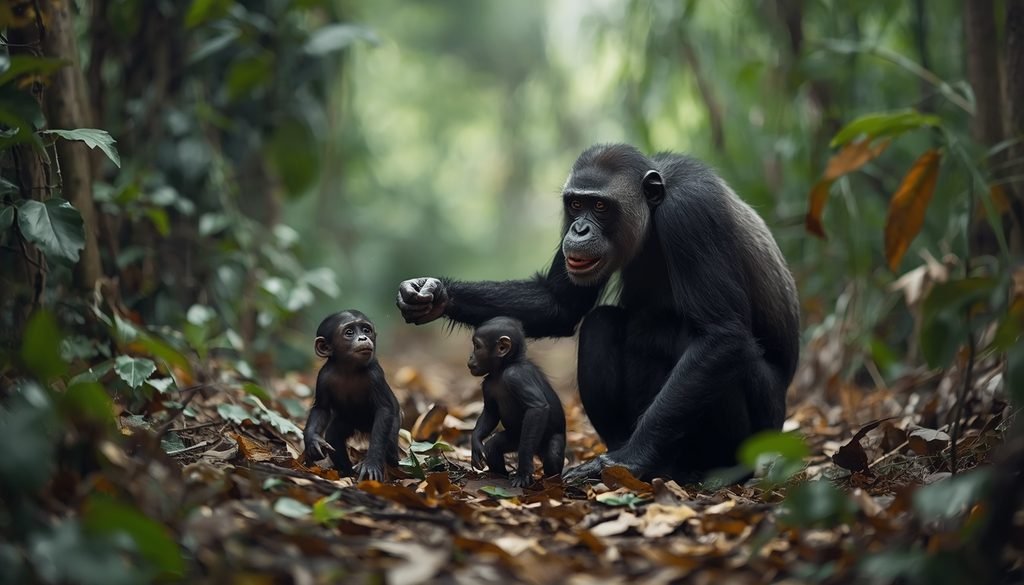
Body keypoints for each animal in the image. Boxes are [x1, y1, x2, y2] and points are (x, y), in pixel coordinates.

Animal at [302, 310, 400, 482]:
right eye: (349, 332)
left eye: (366, 330)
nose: (363, 338)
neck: (348, 368)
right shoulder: (323, 377)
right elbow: (321, 408)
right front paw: (312, 441)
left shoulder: (375, 375)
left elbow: (384, 410)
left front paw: (371, 463)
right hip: (349, 422)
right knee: (333, 435)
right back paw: (346, 472)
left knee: (389, 444)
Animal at [468, 317, 566, 488]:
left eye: (477, 346)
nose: (470, 357)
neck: (503, 369)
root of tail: (538, 451)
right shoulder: (487, 385)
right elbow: (490, 414)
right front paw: (476, 442)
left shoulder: (516, 376)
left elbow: (537, 409)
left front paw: (523, 472)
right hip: (516, 436)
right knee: (493, 446)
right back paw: (498, 475)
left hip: (542, 439)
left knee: (553, 454)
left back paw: (551, 481)